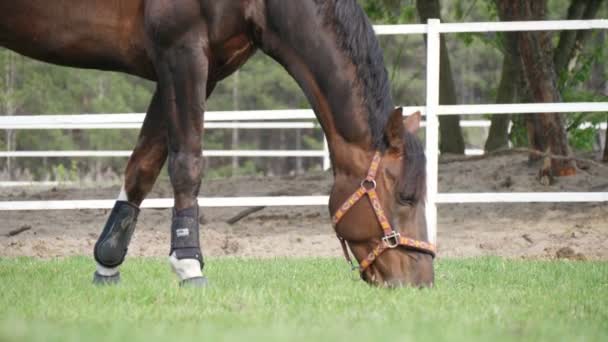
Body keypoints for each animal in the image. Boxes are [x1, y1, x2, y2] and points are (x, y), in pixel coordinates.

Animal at [2, 0, 434, 288]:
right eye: (406, 196)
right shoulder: (181, 52)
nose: (422, 282)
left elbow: (144, 165)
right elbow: (186, 164)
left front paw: (108, 264)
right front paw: (188, 264)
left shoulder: (201, 68)